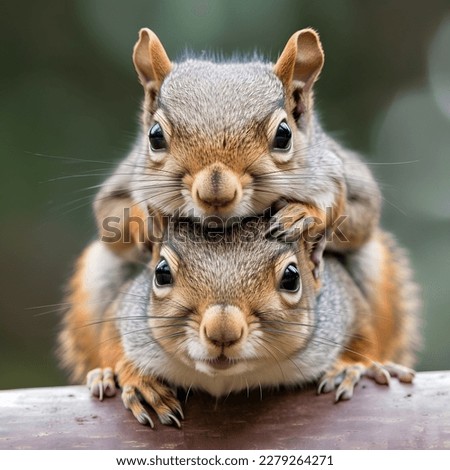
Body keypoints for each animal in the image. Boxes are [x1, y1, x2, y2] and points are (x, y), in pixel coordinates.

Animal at [58, 211, 420, 428]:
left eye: (292, 278)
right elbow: (111, 337)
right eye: (161, 273)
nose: (223, 331)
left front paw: (351, 366)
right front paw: (138, 380)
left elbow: (363, 333)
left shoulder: (342, 303)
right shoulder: (126, 309)